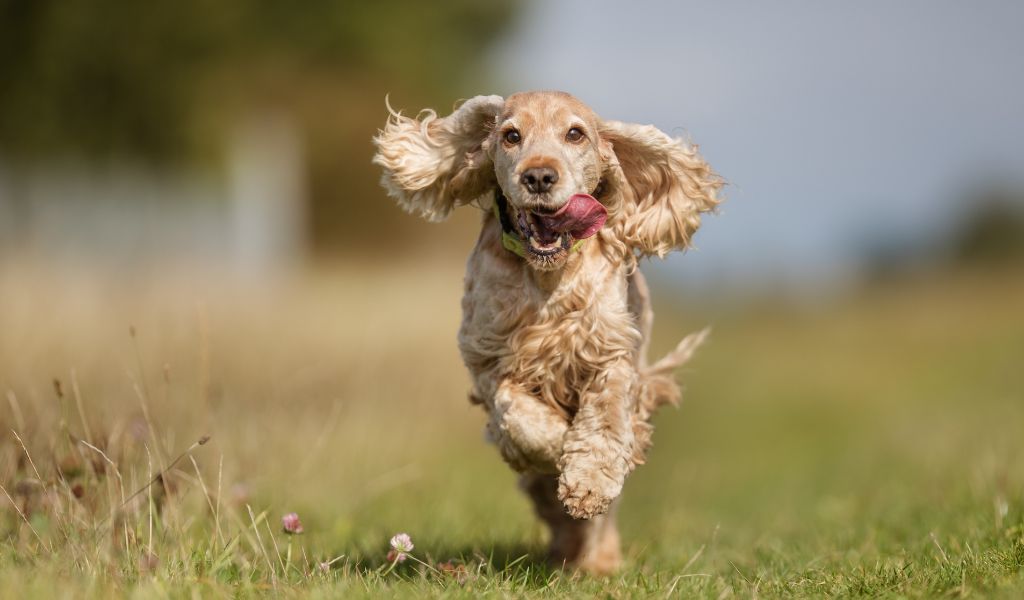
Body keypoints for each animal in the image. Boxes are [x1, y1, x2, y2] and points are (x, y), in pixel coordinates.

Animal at [374, 90, 720, 569]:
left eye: (575, 133)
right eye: (510, 135)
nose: (538, 175)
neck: (548, 276)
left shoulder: (612, 351)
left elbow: (606, 420)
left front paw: (588, 481)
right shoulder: (489, 357)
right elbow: (519, 416)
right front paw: (557, 447)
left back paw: (597, 560)